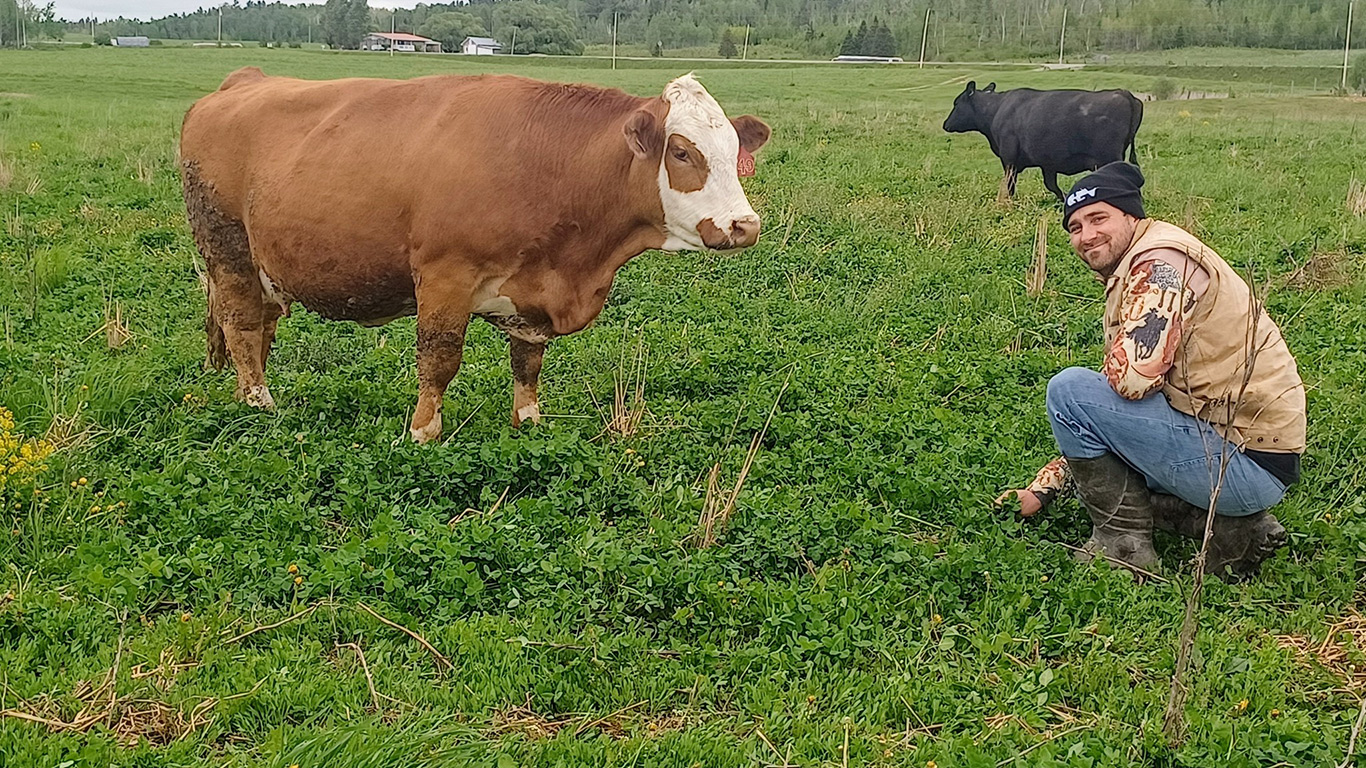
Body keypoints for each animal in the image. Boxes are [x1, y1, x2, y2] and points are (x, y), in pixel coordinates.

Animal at [181, 71, 770, 442]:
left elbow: (528, 363)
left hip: (265, 265)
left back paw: (243, 385)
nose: (745, 225)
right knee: (239, 322)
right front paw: (423, 432)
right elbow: (439, 360)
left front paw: (528, 423)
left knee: (259, 323)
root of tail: (246, 80)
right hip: (227, 246)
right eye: (682, 152)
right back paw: (258, 402)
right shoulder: (445, 274)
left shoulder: (533, 294)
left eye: (734, 151)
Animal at [939, 80, 1141, 202]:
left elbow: (1010, 185)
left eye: (956, 103)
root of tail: (1123, 93)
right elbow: (1051, 185)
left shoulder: (1009, 159)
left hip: (1110, 158)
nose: (945, 124)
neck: (996, 110)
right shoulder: (1048, 164)